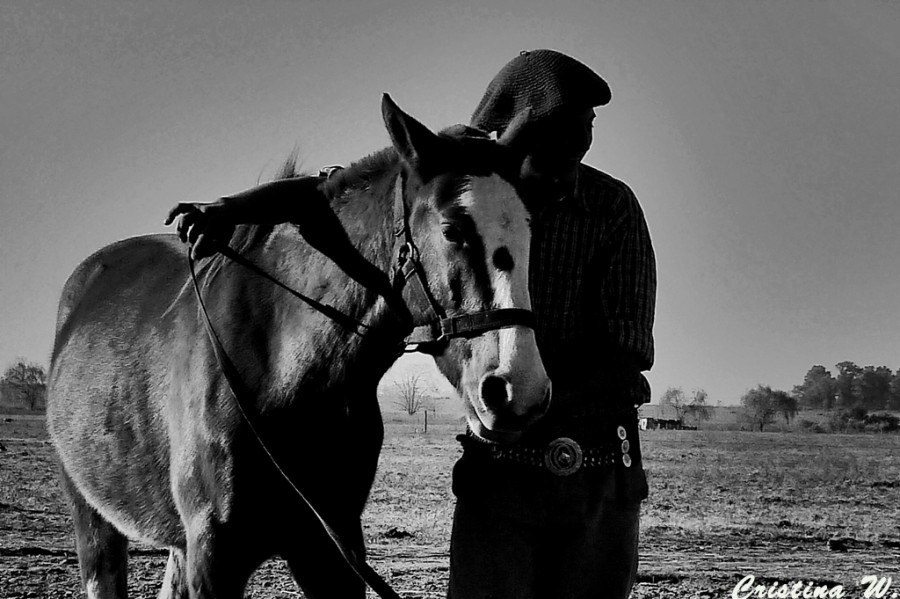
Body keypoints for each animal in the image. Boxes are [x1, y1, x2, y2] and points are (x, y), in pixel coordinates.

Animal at [47, 96, 556, 596]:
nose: (518, 391)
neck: (280, 373)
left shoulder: (329, 553)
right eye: (452, 229)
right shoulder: (214, 557)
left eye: (531, 231)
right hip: (93, 519)